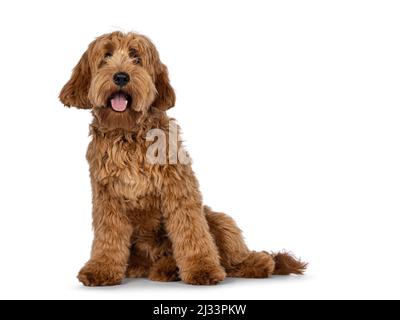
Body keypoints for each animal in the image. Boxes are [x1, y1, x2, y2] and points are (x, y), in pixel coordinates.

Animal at [58, 31, 306, 288]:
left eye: (136, 58)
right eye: (106, 56)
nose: (121, 76)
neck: (128, 134)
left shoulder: (178, 188)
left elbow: (191, 231)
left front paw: (202, 269)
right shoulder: (107, 198)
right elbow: (108, 237)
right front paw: (101, 269)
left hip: (218, 219)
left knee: (236, 257)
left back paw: (256, 263)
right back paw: (168, 268)